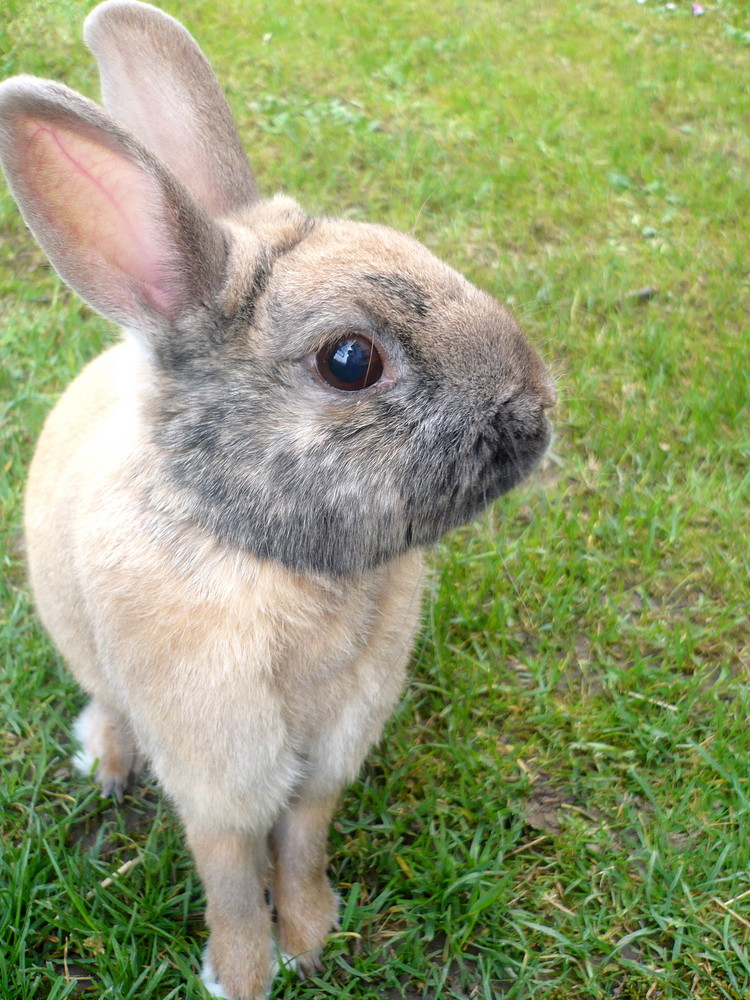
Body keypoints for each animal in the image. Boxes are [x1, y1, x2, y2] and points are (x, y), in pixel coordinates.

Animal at [0, 3, 552, 996]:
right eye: (349, 360)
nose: (536, 412)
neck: (275, 559)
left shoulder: (330, 755)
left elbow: (304, 842)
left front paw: (312, 936)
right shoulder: (217, 769)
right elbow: (228, 874)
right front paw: (242, 974)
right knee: (105, 701)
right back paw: (104, 759)